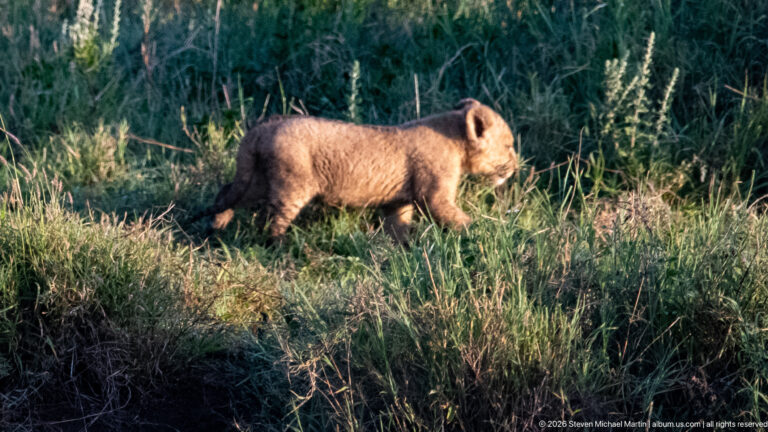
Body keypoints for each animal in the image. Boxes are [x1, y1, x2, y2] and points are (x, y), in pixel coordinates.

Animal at [195, 98, 518, 243]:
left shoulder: (397, 201)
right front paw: (486, 233)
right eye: (509, 145)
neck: (455, 136)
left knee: (227, 193)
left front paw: (402, 248)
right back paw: (278, 246)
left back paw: (216, 228)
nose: (516, 167)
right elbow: (456, 218)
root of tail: (263, 127)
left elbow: (398, 225)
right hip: (292, 184)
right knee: (272, 220)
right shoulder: (433, 195)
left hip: (256, 179)